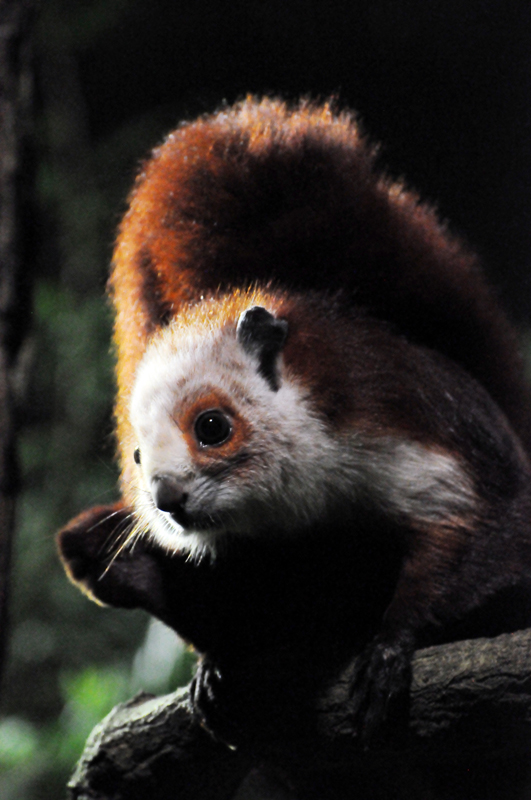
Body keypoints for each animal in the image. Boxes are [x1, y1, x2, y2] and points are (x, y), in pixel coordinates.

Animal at [57, 97, 531, 745]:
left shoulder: (413, 435)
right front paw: (215, 664)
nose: (164, 499)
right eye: (134, 454)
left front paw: (392, 643)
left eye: (212, 427)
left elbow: (488, 532)